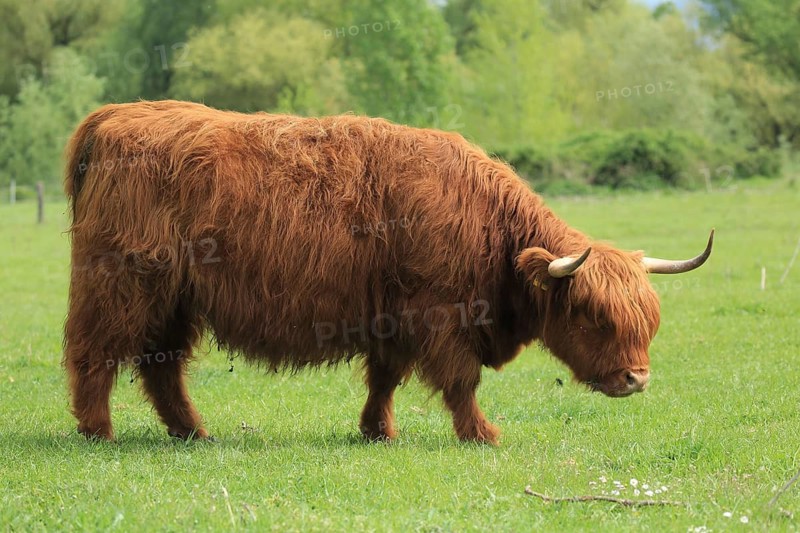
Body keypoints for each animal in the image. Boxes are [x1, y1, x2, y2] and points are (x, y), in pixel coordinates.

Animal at [63, 100, 713, 444]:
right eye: (592, 315)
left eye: (648, 318)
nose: (636, 379)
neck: (489, 228)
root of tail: (115, 116)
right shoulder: (438, 314)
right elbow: (461, 381)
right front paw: (482, 434)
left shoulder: (393, 316)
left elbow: (385, 377)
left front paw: (378, 430)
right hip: (122, 284)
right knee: (95, 354)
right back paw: (99, 430)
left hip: (174, 298)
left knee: (162, 366)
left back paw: (193, 432)